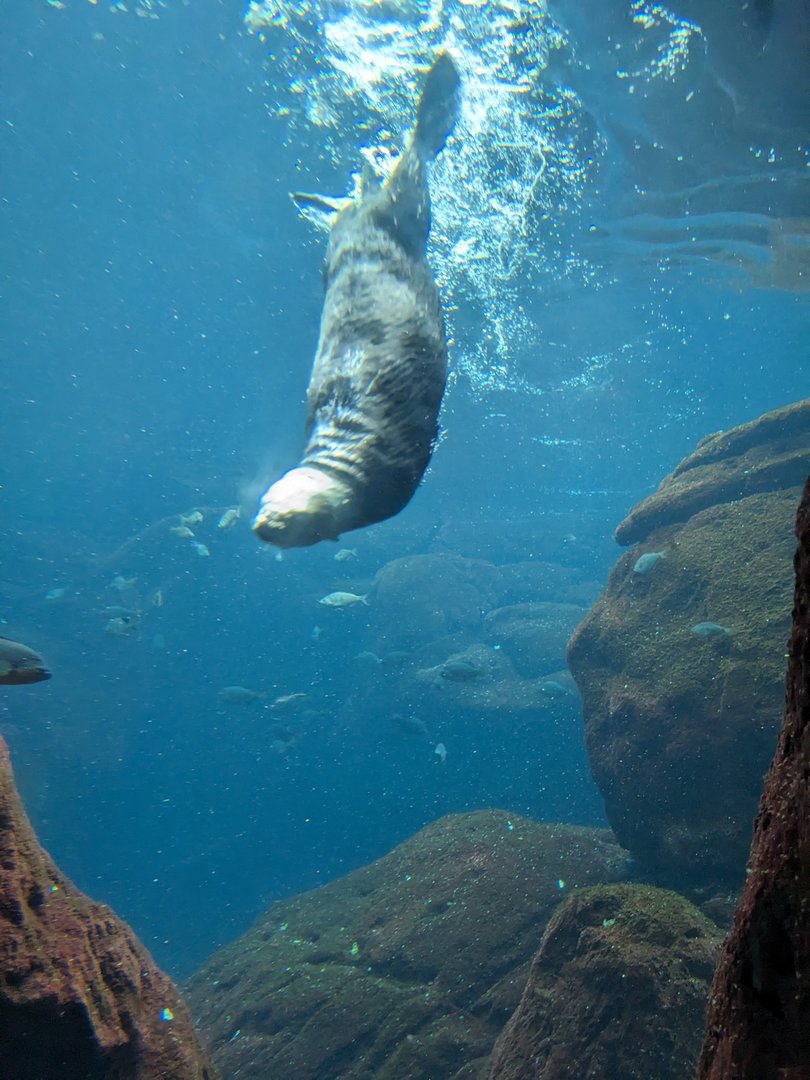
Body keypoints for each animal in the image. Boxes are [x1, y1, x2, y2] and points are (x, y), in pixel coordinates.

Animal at [253, 53, 460, 548]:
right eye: (266, 499)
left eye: (291, 520)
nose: (263, 523)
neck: (352, 436)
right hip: (362, 221)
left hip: (401, 210)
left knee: (412, 159)